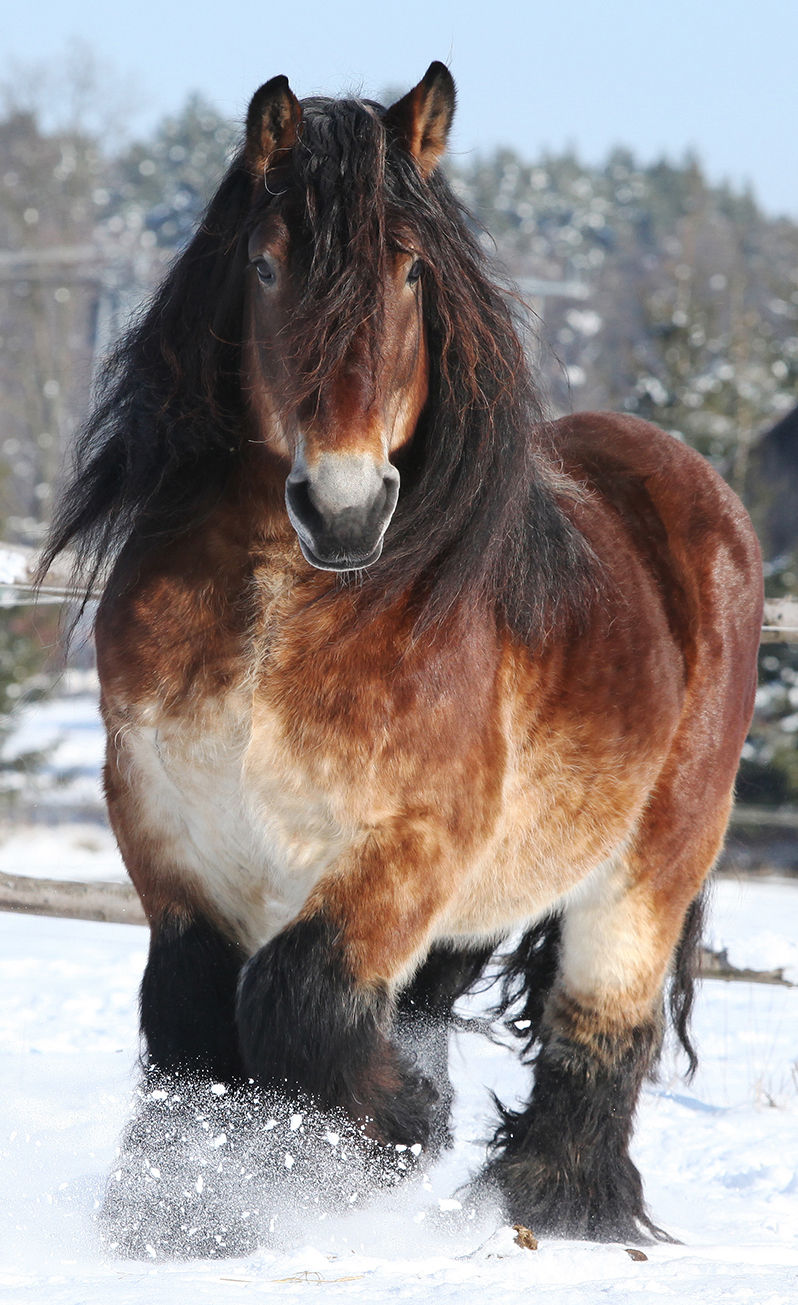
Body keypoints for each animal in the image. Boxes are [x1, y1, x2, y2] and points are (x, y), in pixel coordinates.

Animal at [40, 61, 762, 1242]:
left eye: (413, 270)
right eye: (266, 263)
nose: (342, 510)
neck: (283, 611)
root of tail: (699, 495)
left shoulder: (409, 842)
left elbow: (300, 998)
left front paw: (391, 1133)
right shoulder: (165, 825)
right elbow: (191, 1014)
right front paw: (183, 1218)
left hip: (645, 873)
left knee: (601, 1032)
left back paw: (555, 1207)